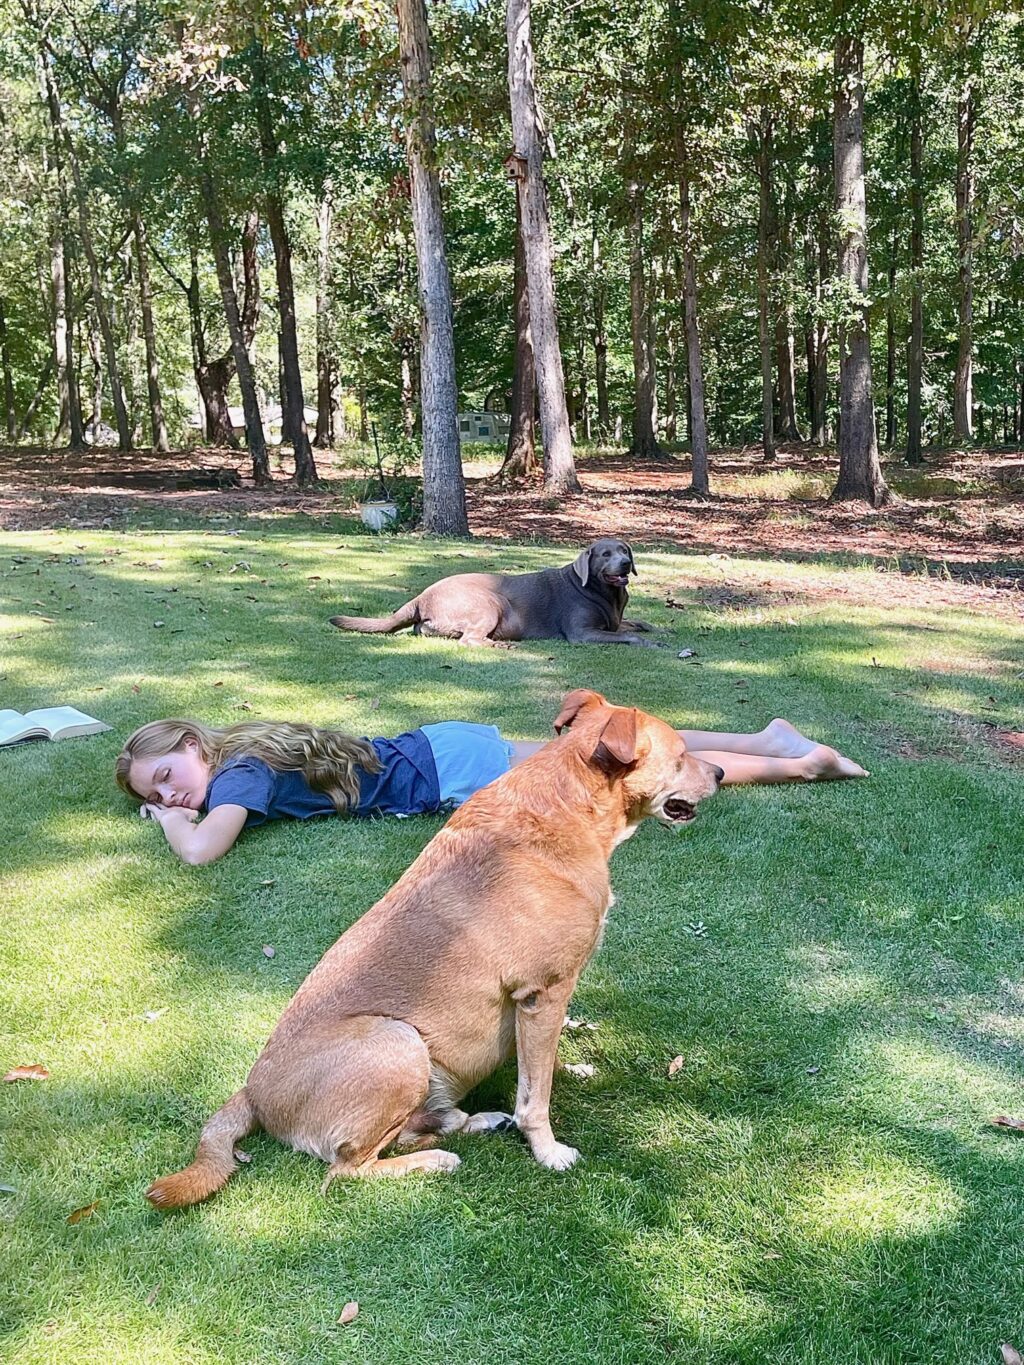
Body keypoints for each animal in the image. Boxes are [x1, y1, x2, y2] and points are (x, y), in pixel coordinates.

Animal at [146, 693, 720, 1206]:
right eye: (681, 754)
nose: (717, 773)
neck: (564, 806)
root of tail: (251, 1093)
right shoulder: (543, 993)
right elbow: (535, 1097)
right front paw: (549, 1151)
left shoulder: (541, 1006)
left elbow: (540, 1067)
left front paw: (563, 1072)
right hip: (398, 1042)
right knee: (346, 1170)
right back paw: (436, 1160)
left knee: (413, 1132)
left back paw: (477, 1121)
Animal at [333, 535, 660, 647]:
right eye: (605, 554)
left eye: (624, 550)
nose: (625, 563)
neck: (606, 595)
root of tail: (420, 596)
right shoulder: (583, 634)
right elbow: (628, 635)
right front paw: (653, 644)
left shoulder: (614, 621)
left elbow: (636, 624)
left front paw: (658, 630)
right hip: (492, 602)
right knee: (469, 640)